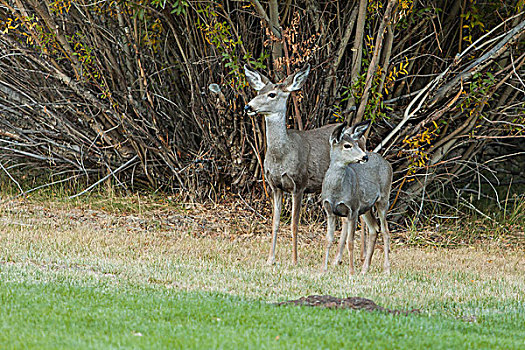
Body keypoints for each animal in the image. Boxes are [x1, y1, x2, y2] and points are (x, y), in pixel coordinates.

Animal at [245, 63, 342, 266]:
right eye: (258, 91)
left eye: (272, 94)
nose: (248, 106)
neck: (282, 156)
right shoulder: (275, 186)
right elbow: (275, 223)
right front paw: (270, 259)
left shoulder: (300, 183)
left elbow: (293, 225)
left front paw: (294, 260)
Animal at [320, 121, 392, 274]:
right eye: (347, 145)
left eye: (357, 143)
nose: (365, 157)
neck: (336, 191)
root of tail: (387, 163)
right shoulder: (329, 210)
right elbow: (328, 239)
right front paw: (323, 270)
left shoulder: (352, 209)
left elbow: (350, 242)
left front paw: (351, 272)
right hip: (365, 208)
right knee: (374, 228)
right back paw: (365, 269)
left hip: (384, 198)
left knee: (385, 231)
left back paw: (386, 269)